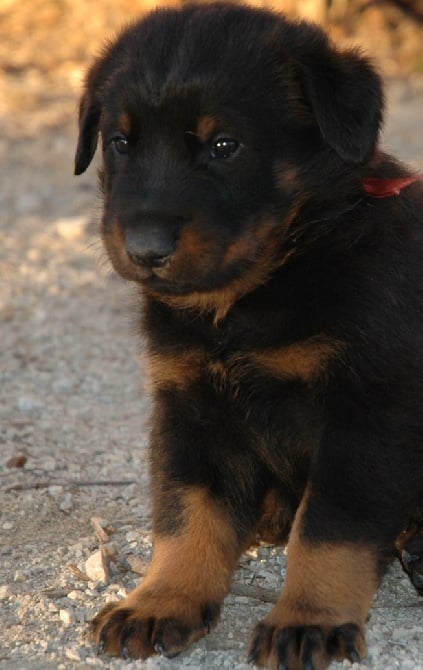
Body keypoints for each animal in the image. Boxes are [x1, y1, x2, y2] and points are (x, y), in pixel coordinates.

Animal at [74, 2, 422, 668]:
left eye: (224, 145)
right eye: (121, 143)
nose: (145, 250)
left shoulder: (363, 410)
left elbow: (328, 530)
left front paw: (308, 620)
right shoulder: (190, 404)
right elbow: (187, 515)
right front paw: (161, 601)